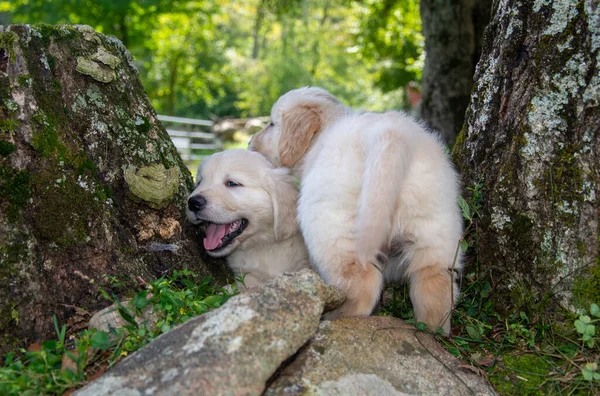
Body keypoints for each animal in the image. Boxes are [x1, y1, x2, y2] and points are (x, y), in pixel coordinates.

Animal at [248, 86, 464, 334]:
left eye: (272, 124)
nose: (249, 141)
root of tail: (390, 134)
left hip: (334, 229)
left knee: (362, 285)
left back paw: (336, 318)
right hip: (435, 227)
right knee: (434, 282)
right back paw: (432, 331)